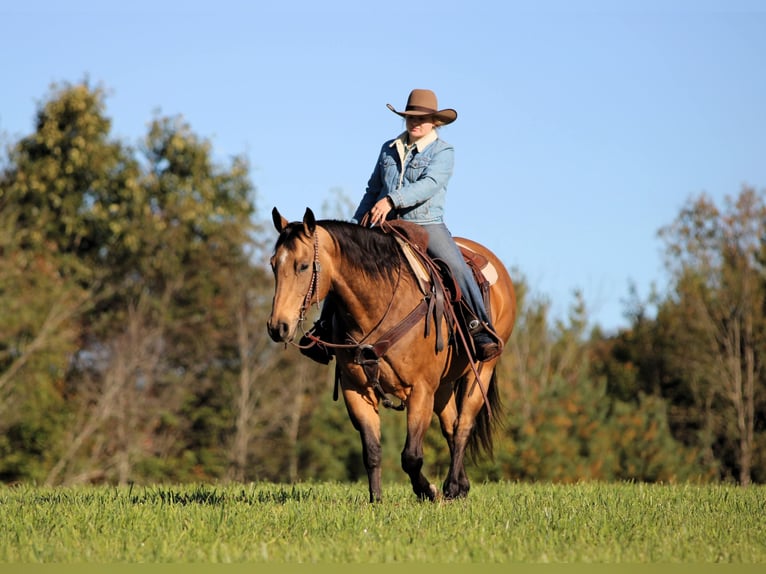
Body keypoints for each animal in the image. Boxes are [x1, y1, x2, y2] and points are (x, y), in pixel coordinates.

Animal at [266, 207, 516, 501]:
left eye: (303, 265)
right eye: (273, 264)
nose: (277, 326)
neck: (381, 304)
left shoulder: (420, 390)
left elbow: (411, 457)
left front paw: (428, 490)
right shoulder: (356, 389)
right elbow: (372, 451)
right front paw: (376, 500)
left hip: (482, 371)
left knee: (463, 426)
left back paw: (452, 486)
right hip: (443, 386)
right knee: (451, 426)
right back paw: (461, 486)